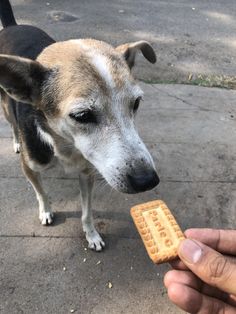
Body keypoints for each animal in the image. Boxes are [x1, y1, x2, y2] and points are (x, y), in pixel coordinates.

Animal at [0, 0, 159, 250]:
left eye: (136, 103)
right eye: (82, 115)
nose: (147, 180)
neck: (64, 144)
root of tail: (14, 26)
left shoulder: (87, 172)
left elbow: (86, 212)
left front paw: (91, 235)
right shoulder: (29, 167)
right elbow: (41, 193)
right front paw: (46, 211)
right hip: (6, 109)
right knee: (12, 124)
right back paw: (16, 141)